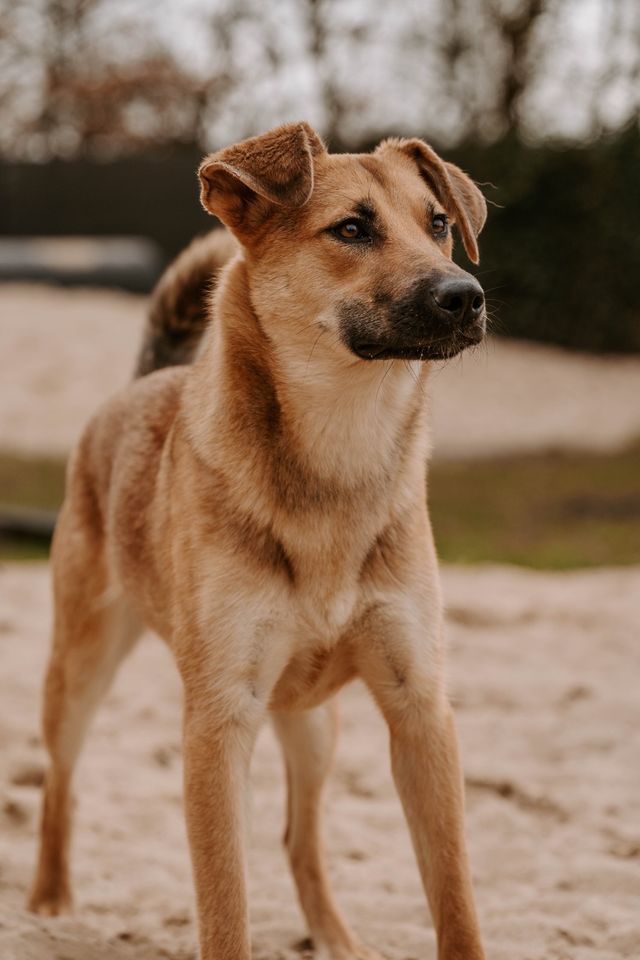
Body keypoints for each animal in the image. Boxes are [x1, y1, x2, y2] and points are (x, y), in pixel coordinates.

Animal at [28, 122, 490, 960]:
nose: (464, 295)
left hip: (314, 724)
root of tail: (141, 383)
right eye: (352, 229)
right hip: (78, 670)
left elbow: (455, 898)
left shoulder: (420, 709)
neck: (337, 454)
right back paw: (49, 903)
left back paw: (336, 937)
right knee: (60, 783)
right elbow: (225, 904)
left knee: (299, 838)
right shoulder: (219, 720)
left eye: (439, 223)